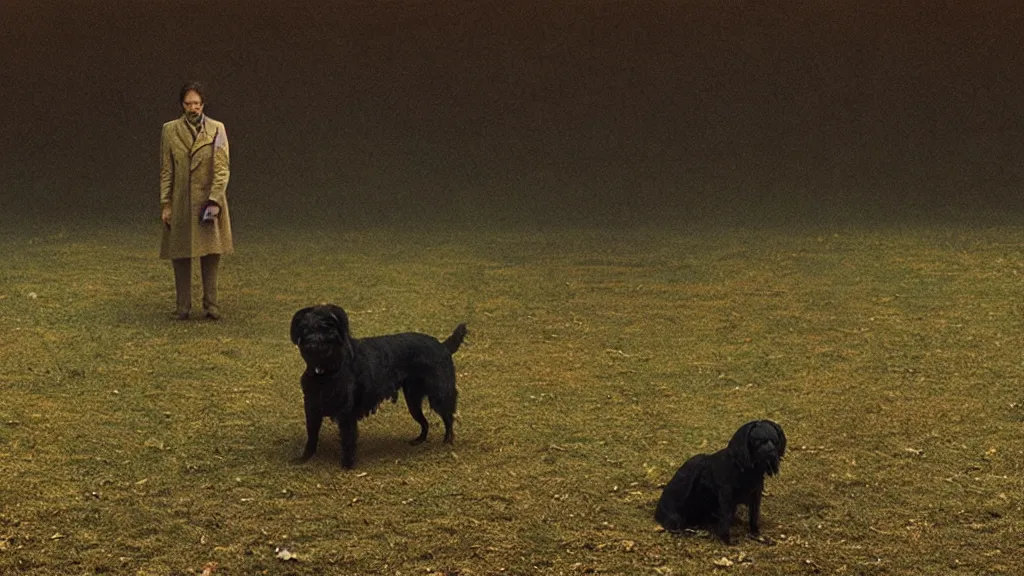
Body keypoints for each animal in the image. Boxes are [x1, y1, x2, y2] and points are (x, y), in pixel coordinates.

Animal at [286, 303, 466, 469]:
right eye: (304, 329)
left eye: (327, 327)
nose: (312, 342)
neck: (327, 370)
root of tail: (443, 346)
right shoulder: (312, 410)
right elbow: (311, 439)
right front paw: (304, 459)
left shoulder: (347, 414)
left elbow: (348, 440)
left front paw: (347, 466)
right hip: (413, 401)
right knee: (425, 423)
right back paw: (420, 440)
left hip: (439, 396)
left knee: (448, 418)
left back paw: (447, 441)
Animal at [651, 420, 786, 541]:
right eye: (758, 441)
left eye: (775, 441)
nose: (771, 451)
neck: (746, 470)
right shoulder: (726, 495)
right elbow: (726, 517)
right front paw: (726, 538)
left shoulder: (755, 495)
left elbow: (754, 516)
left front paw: (755, 533)